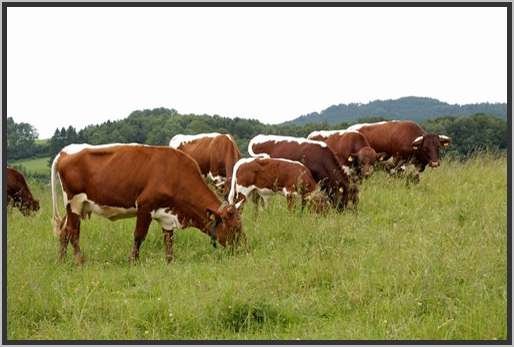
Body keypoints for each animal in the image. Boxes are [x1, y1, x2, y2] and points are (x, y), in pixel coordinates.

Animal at [51, 143, 243, 266]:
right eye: (235, 228)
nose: (244, 251)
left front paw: (170, 262)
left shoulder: (167, 214)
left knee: (64, 231)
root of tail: (65, 151)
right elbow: (139, 236)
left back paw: (61, 261)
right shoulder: (145, 206)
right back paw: (79, 262)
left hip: (77, 206)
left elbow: (169, 239)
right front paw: (133, 262)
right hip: (74, 203)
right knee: (73, 233)